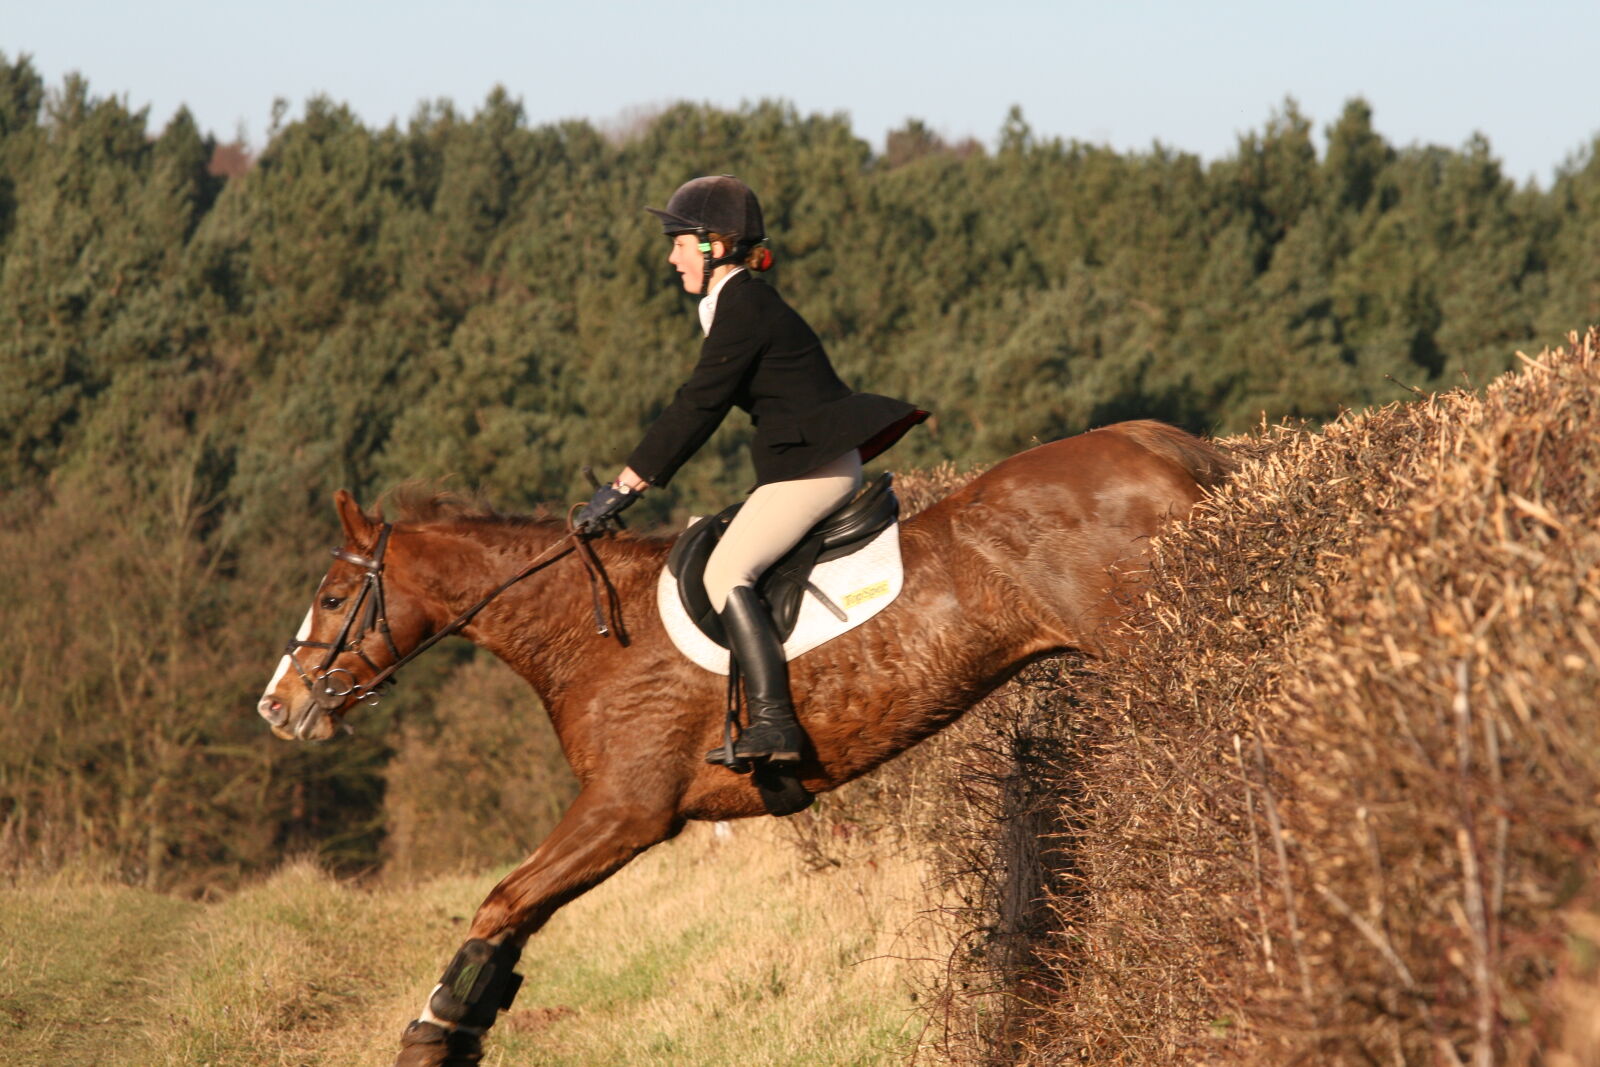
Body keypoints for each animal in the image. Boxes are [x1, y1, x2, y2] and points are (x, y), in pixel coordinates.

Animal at [254, 420, 1232, 1066]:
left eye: (334, 599)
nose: (278, 705)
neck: (590, 629)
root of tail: (1161, 443)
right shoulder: (620, 814)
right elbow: (515, 913)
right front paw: (455, 1023)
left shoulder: (627, 809)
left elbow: (503, 902)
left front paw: (433, 1032)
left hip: (1145, 634)